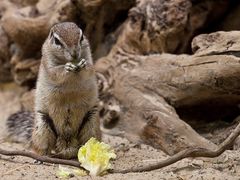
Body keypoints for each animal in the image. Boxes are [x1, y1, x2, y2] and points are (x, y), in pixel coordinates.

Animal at [5, 22, 101, 159]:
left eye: (81, 37)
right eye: (57, 41)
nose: (75, 54)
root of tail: (66, 144)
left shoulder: (89, 58)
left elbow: (89, 68)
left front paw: (83, 64)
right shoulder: (48, 63)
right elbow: (55, 72)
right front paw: (66, 68)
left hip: (91, 123)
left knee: (87, 143)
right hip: (42, 126)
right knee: (42, 147)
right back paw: (41, 158)